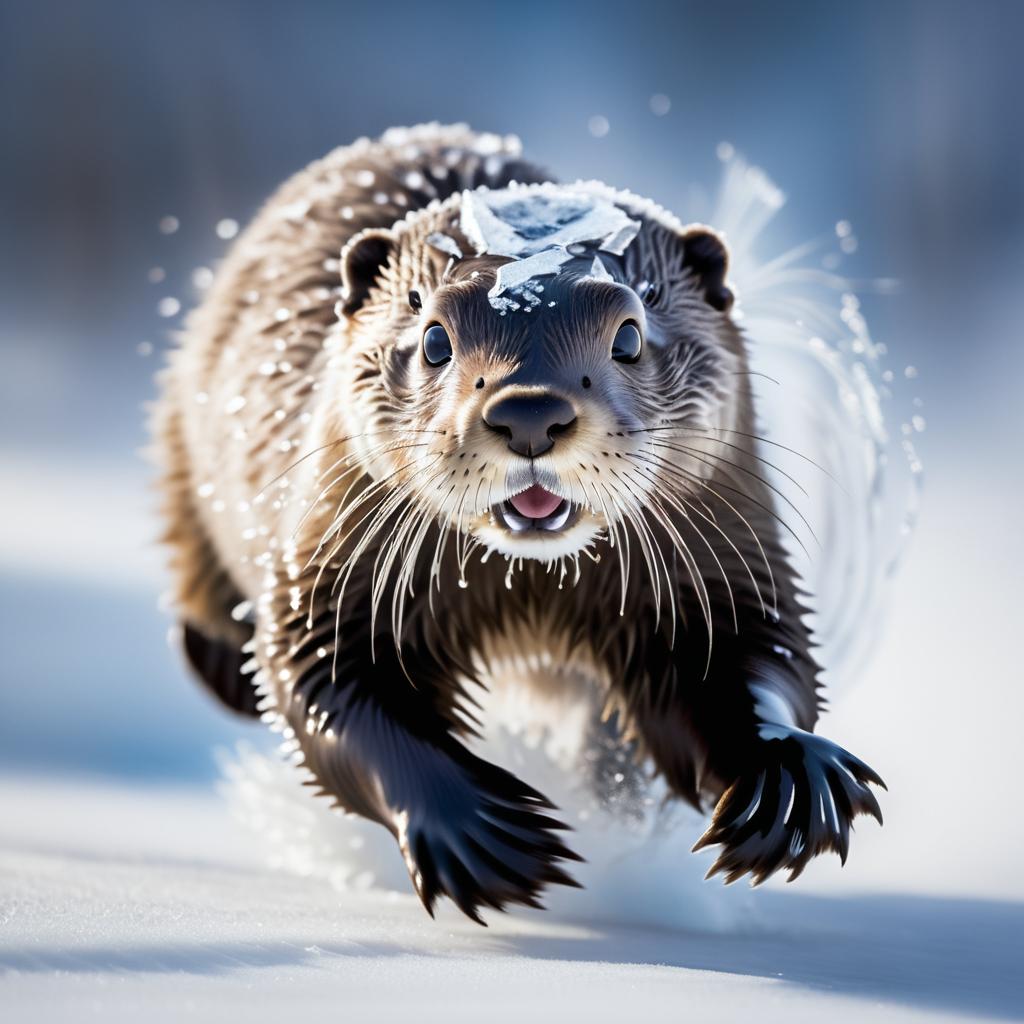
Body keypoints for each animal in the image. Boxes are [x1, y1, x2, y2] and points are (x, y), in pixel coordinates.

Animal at [151, 123, 880, 925]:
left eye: (629, 335)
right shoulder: (334, 569)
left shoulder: (726, 563)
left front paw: (786, 775)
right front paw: (479, 832)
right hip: (185, 442)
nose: (529, 409)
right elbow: (327, 682)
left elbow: (758, 660)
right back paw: (222, 658)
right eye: (434, 338)